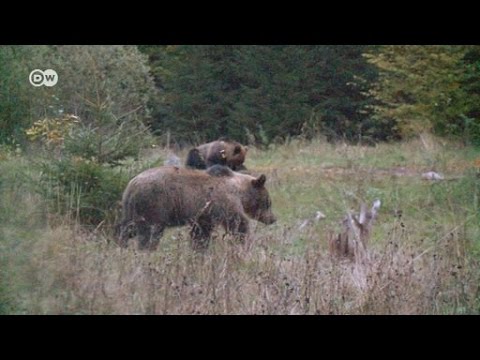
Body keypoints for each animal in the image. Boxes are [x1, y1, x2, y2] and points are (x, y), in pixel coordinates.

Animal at [116, 165, 276, 249]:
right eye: (268, 201)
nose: (273, 219)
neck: (239, 191)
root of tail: (131, 185)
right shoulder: (223, 202)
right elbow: (237, 223)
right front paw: (244, 241)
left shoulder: (203, 214)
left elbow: (199, 233)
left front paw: (199, 248)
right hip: (154, 205)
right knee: (150, 232)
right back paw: (146, 249)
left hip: (131, 210)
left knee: (127, 229)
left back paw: (121, 245)